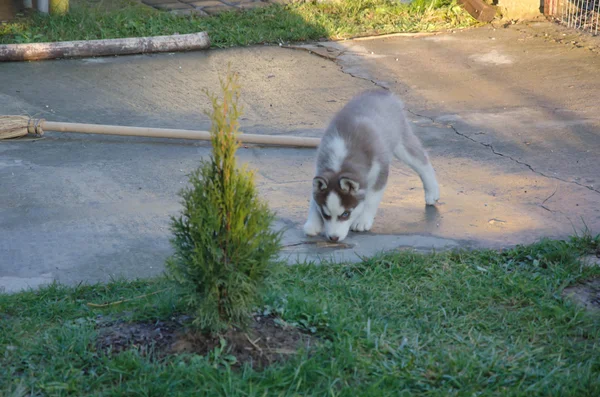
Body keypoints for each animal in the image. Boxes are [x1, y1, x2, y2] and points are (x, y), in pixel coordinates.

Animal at [302, 89, 438, 241]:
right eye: (326, 215)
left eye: (346, 214)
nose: (333, 238)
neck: (341, 159)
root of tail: (380, 92)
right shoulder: (320, 170)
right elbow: (314, 200)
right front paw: (312, 223)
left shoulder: (380, 172)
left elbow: (371, 199)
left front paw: (362, 220)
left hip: (402, 143)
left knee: (423, 162)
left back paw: (432, 192)